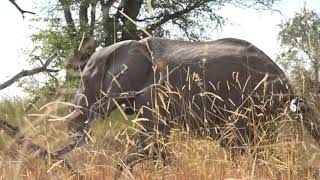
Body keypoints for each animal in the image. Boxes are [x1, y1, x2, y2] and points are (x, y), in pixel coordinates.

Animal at [52, 36, 320, 177]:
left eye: (86, 80)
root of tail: (286, 81)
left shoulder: (152, 91)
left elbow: (151, 143)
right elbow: (157, 146)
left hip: (251, 103)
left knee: (244, 145)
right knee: (253, 148)